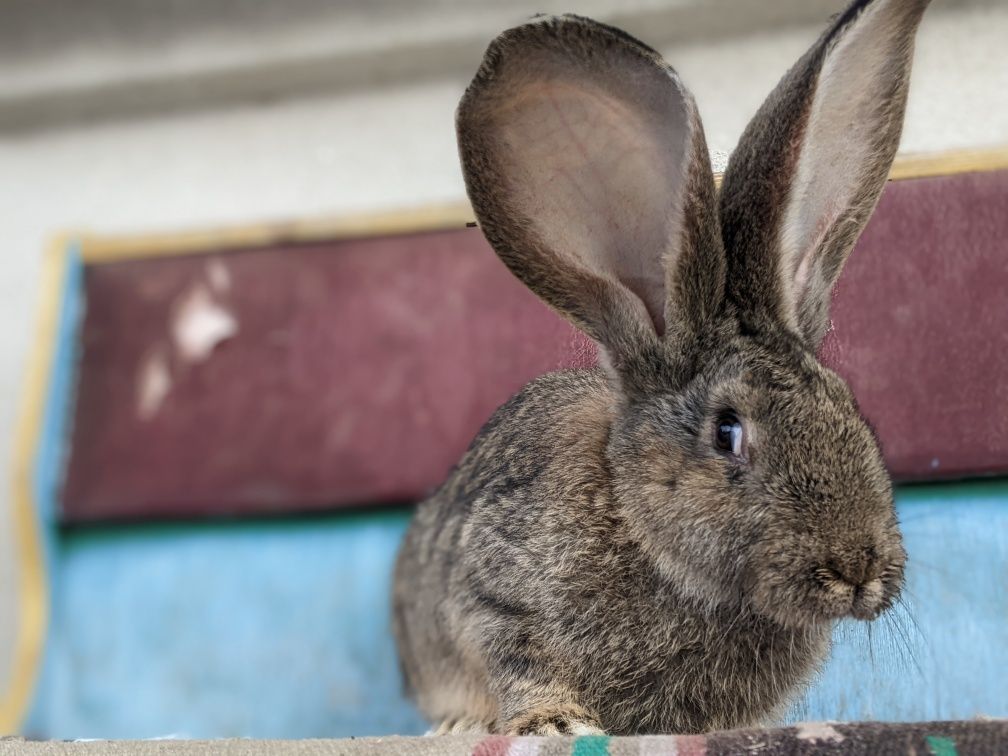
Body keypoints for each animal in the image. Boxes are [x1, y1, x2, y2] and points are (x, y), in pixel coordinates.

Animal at [391, 0, 927, 737]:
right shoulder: (493, 595)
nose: (858, 569)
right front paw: (558, 724)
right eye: (728, 433)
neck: (644, 532)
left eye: (850, 409)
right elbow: (518, 660)